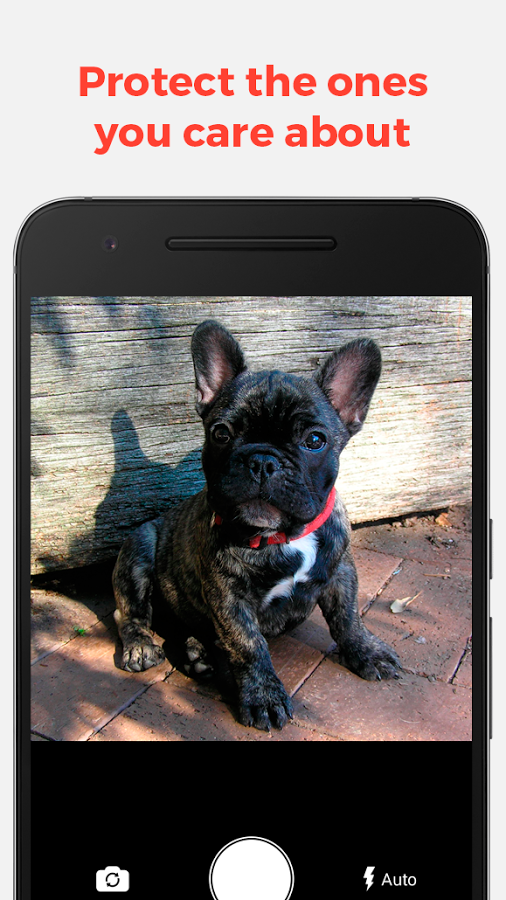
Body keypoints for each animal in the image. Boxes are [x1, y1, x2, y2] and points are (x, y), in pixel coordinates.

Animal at [113, 320, 401, 731]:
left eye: (315, 440)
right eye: (220, 433)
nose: (263, 460)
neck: (283, 536)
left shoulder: (341, 571)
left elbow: (348, 617)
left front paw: (366, 651)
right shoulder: (229, 597)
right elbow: (249, 644)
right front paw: (264, 695)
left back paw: (195, 652)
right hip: (137, 551)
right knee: (131, 613)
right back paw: (142, 646)